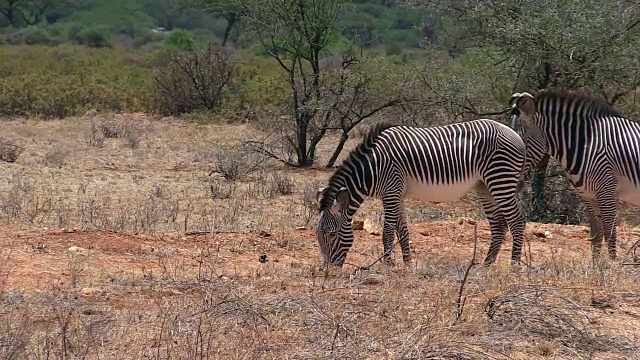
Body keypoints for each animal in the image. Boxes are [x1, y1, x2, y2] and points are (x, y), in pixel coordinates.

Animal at [312, 119, 528, 268]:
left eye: (331, 234)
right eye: (318, 235)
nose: (328, 270)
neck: (372, 168)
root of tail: (515, 134)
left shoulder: (391, 191)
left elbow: (387, 231)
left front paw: (388, 264)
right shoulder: (397, 194)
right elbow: (403, 230)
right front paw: (407, 263)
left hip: (500, 179)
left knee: (517, 221)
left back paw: (514, 264)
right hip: (485, 187)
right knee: (499, 224)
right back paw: (486, 264)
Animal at [510, 90, 640, 262]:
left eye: (522, 142)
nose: (516, 184)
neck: (585, 145)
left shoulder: (606, 192)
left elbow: (610, 234)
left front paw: (612, 264)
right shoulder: (588, 195)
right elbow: (596, 235)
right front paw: (597, 267)